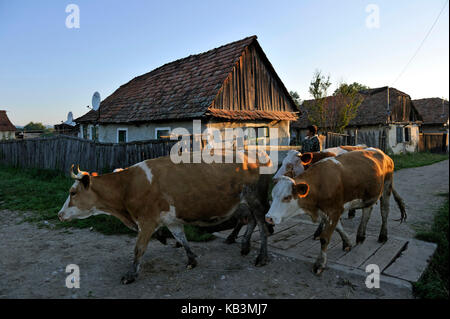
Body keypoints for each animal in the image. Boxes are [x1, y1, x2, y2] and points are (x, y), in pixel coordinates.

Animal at [59, 152, 270, 284]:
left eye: (72, 192)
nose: (60, 214)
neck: (127, 186)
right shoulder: (171, 219)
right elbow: (181, 238)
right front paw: (191, 259)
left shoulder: (146, 221)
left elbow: (138, 249)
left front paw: (131, 275)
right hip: (244, 202)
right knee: (251, 220)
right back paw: (244, 246)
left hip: (255, 198)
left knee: (262, 224)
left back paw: (261, 257)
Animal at [266, 149, 406, 276]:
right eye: (272, 195)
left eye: (287, 197)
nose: (268, 217)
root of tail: (382, 153)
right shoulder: (330, 211)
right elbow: (339, 228)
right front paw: (347, 243)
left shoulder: (334, 210)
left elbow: (324, 238)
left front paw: (320, 264)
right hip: (368, 194)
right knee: (367, 210)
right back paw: (360, 235)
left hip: (387, 186)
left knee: (384, 211)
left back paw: (383, 235)